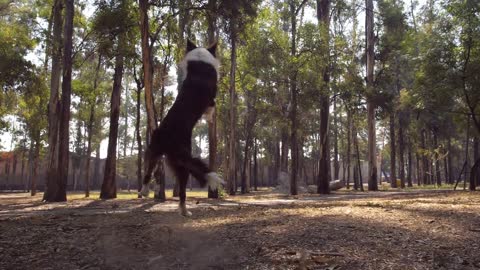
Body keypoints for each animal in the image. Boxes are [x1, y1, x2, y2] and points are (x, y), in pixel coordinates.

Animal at [140, 40, 224, 217]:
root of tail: (169, 139)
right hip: (183, 164)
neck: (200, 62)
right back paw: (185, 211)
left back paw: (144, 191)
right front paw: (209, 118)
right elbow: (211, 109)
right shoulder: (211, 99)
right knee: (183, 192)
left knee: (149, 171)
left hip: (154, 150)